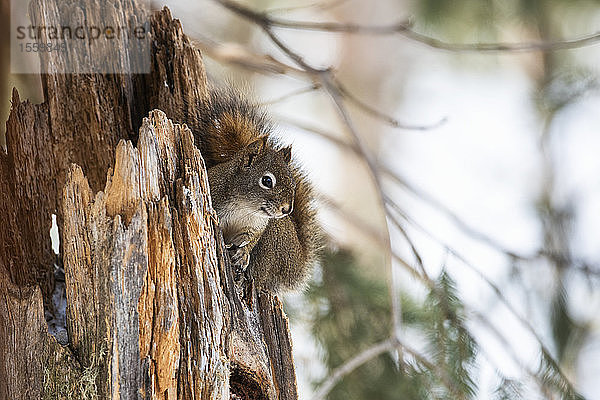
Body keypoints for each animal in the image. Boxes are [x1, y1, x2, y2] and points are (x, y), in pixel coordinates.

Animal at [185, 87, 322, 292]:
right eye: (267, 180)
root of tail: (297, 264)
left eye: (293, 184)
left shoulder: (257, 226)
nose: (287, 209)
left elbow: (250, 240)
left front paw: (243, 254)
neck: (243, 207)